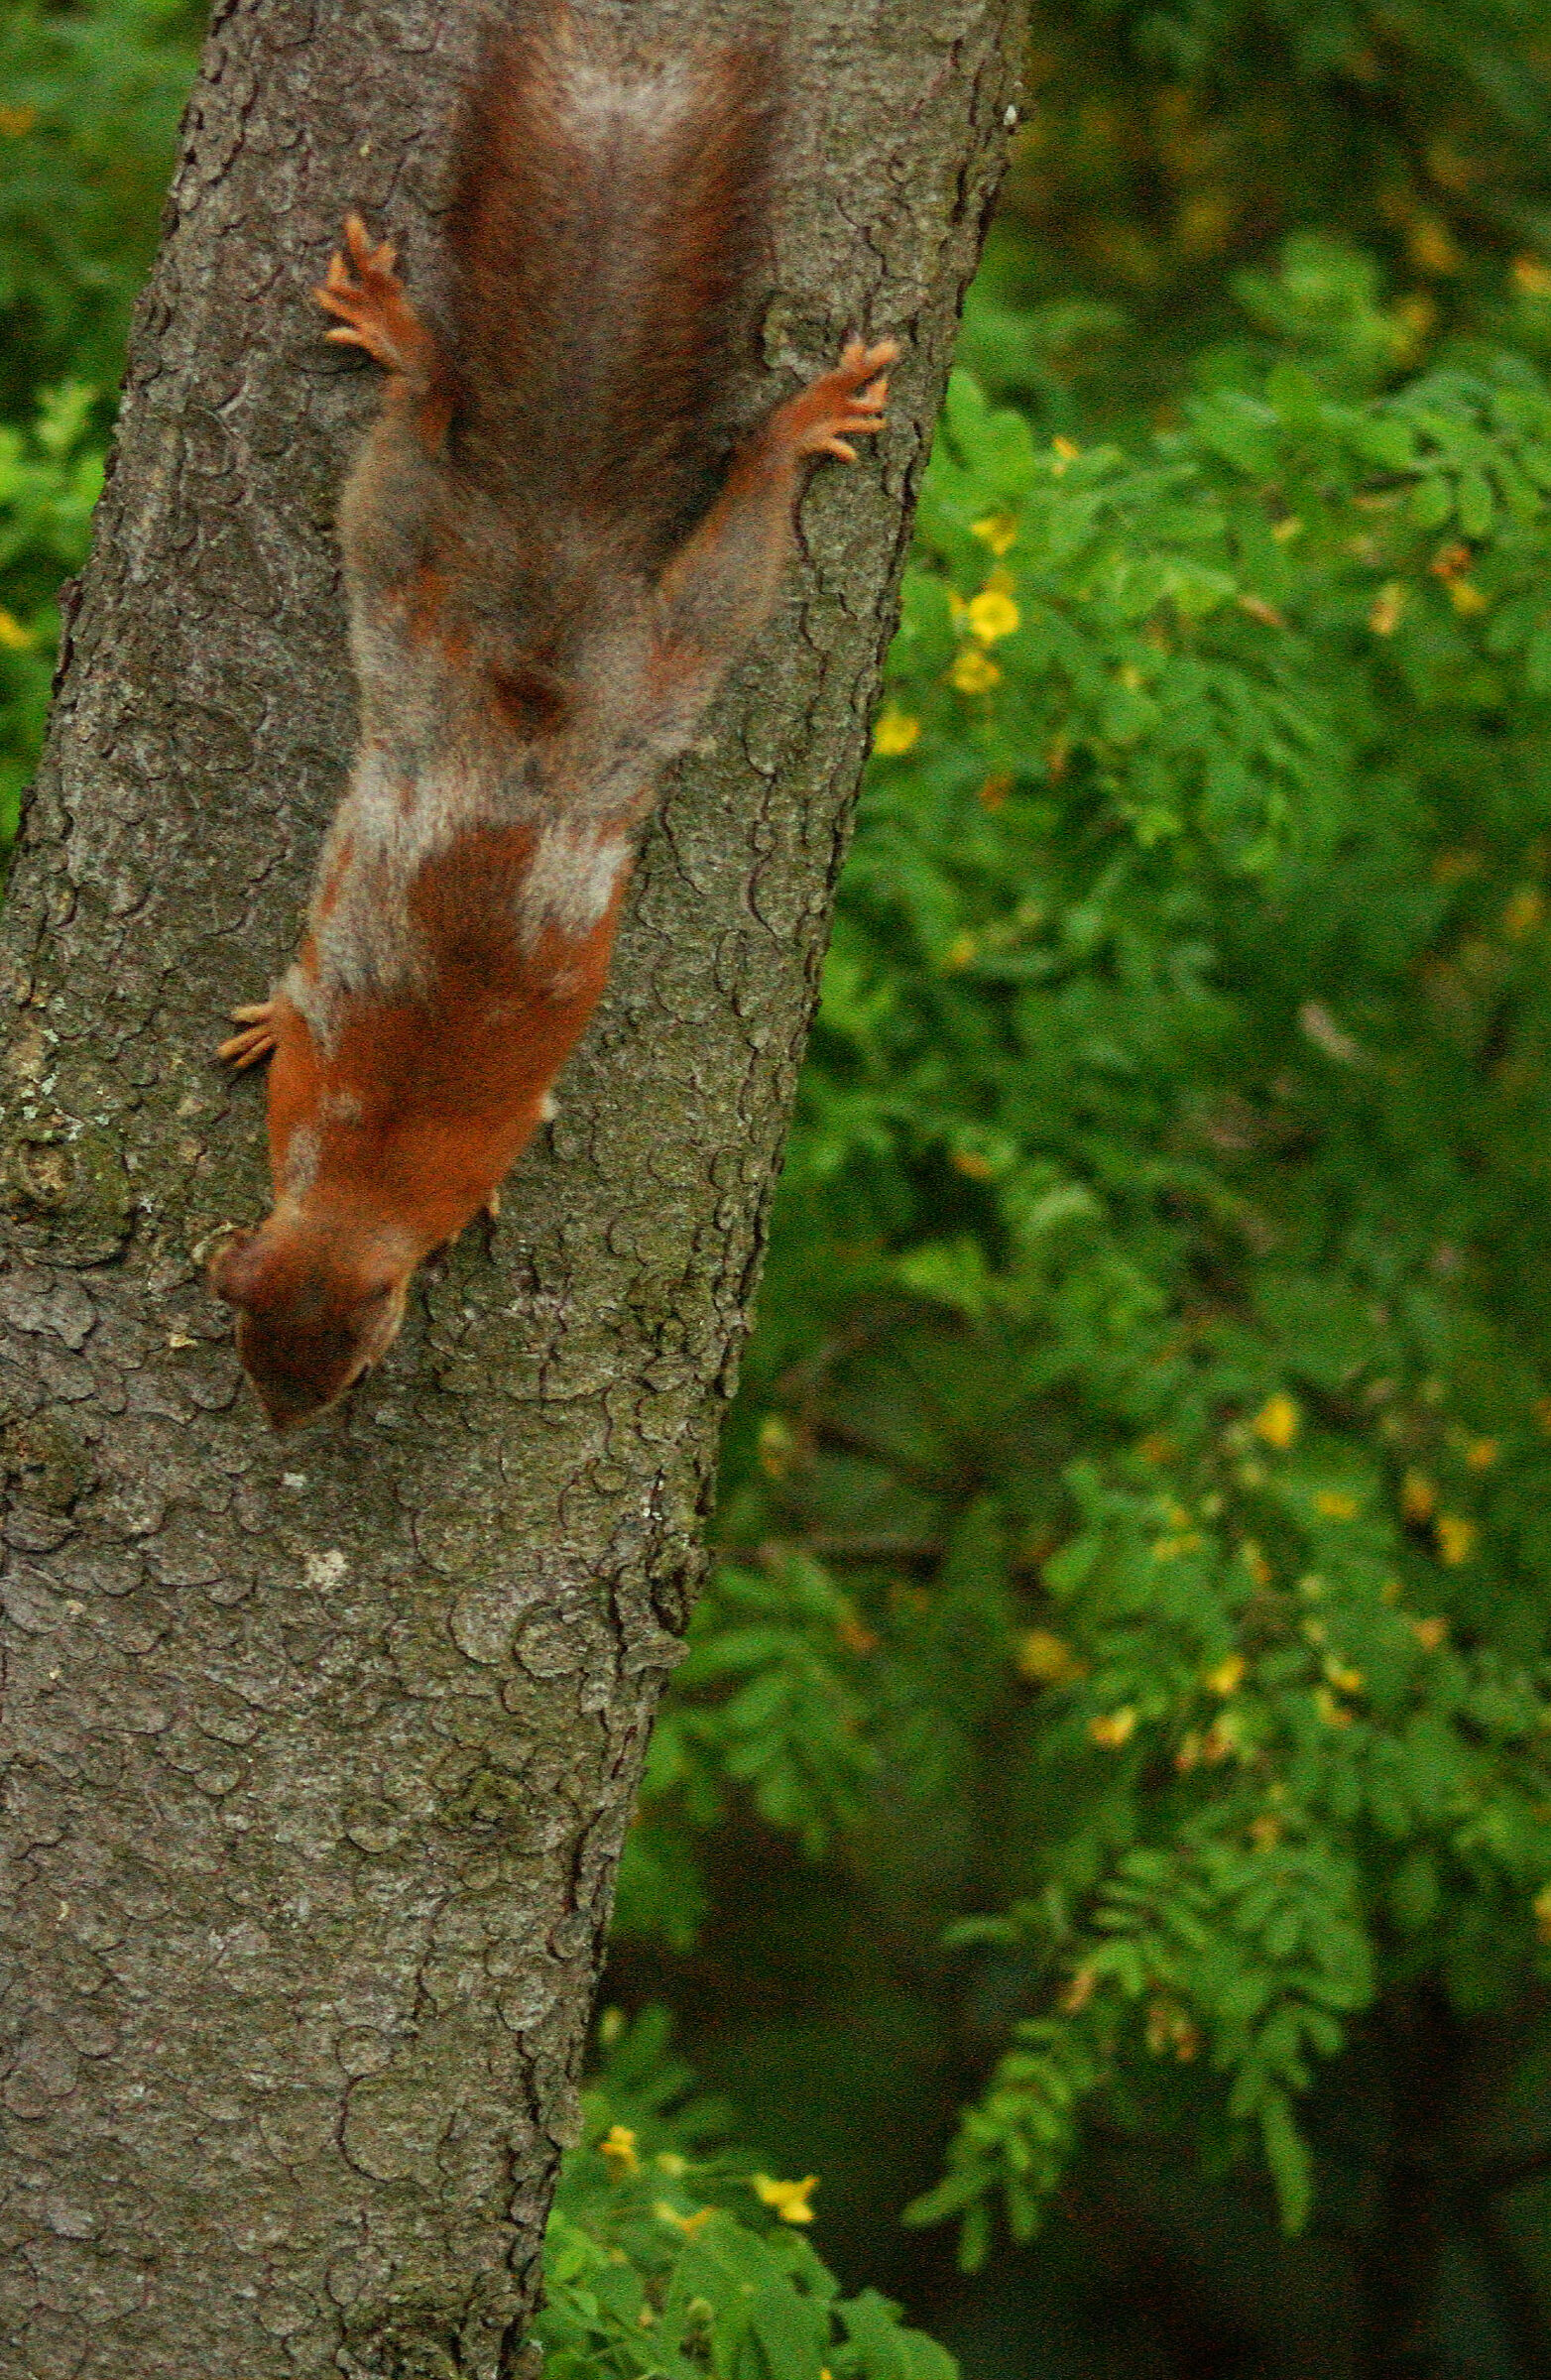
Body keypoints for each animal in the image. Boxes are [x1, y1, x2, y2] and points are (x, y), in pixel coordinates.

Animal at [209, 6, 894, 1430]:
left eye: (355, 1359)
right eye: (244, 1332)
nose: (286, 1421)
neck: (362, 1182)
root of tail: (539, 674)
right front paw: (259, 1019)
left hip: (495, 618)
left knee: (424, 437)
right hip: (555, 653)